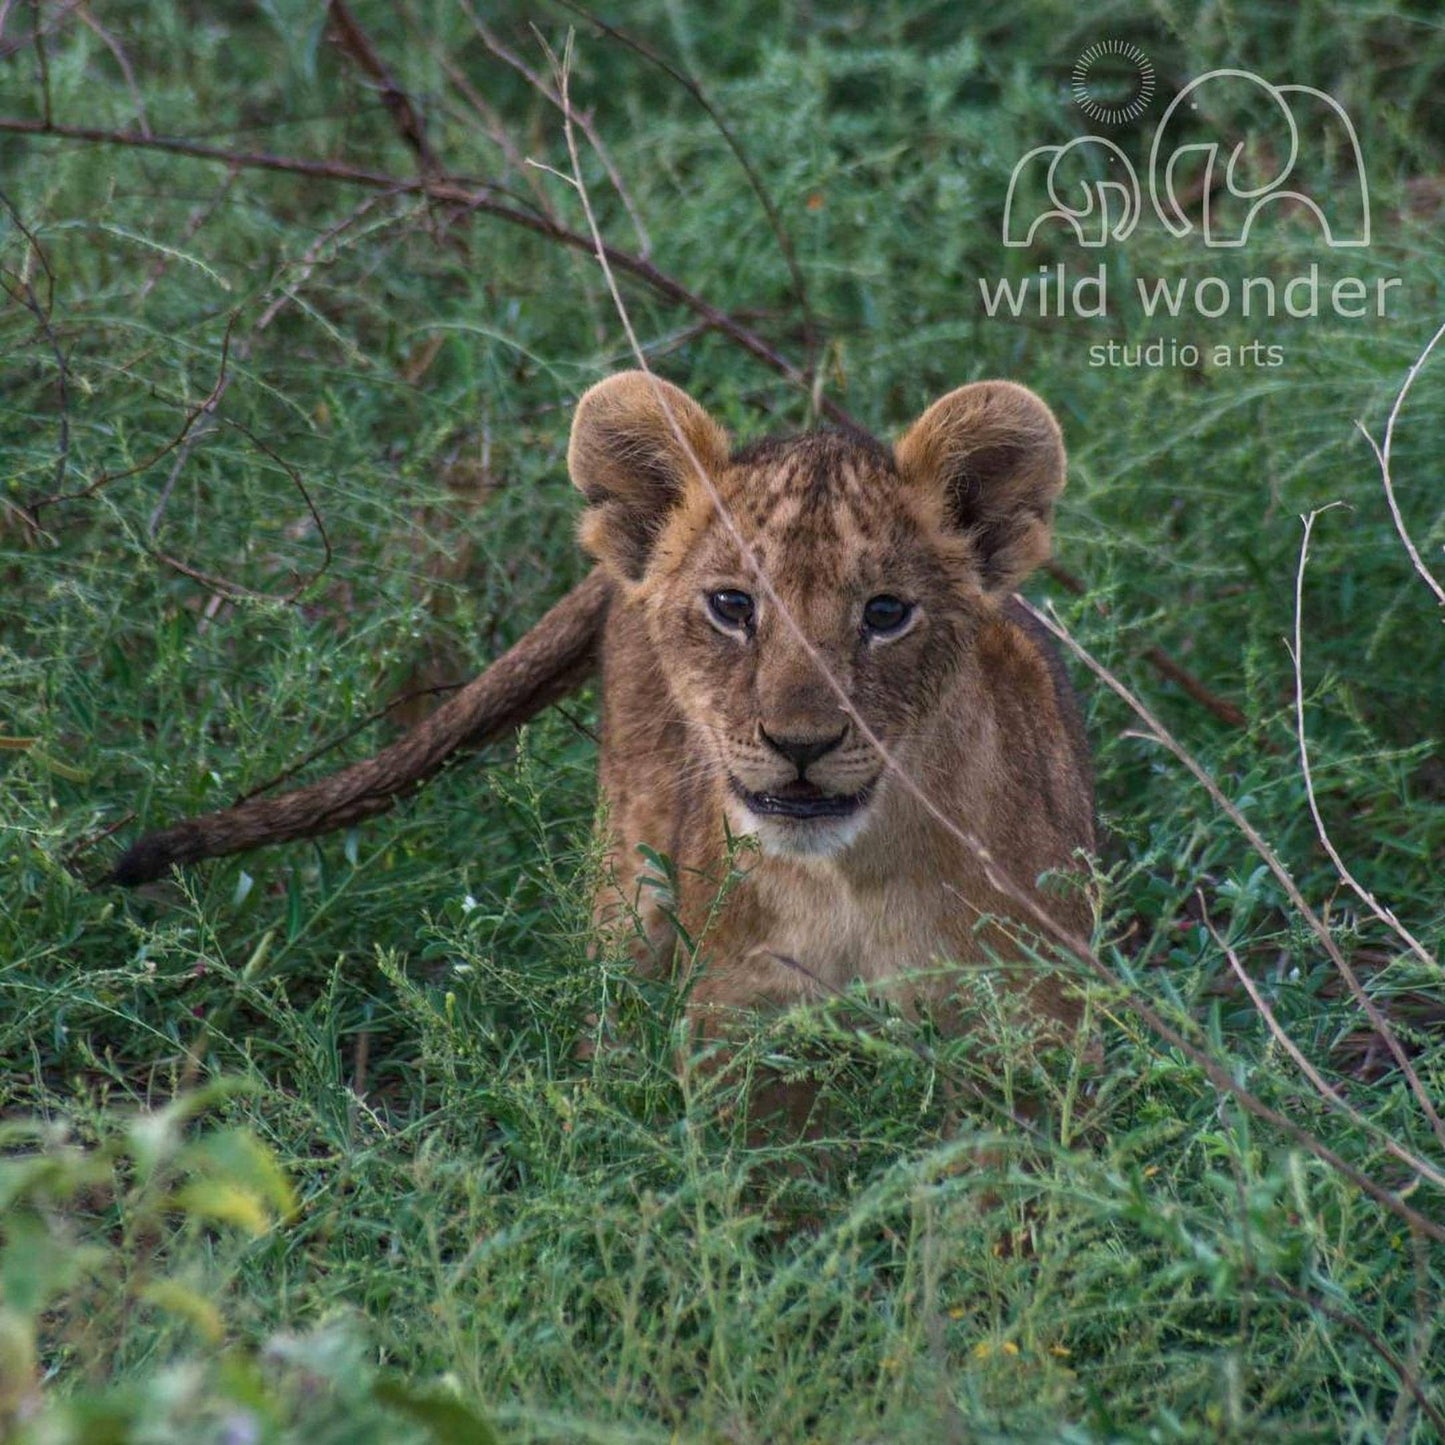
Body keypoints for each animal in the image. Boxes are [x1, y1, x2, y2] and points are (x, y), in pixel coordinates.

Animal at [110, 372, 1093, 1049]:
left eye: (886, 614)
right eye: (731, 606)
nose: (799, 744)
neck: (851, 880)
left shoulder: (1035, 1027)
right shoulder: (736, 1022)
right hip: (624, 885)